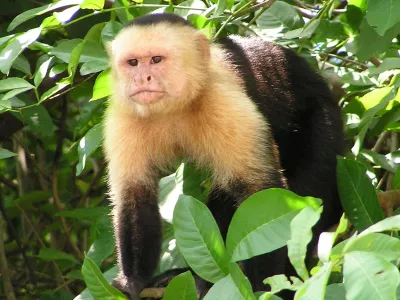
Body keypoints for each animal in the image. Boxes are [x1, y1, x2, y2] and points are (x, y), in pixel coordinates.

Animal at [104, 12, 344, 298]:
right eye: (132, 63)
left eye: (156, 60)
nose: (141, 79)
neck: (174, 108)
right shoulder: (124, 115)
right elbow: (134, 195)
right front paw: (133, 281)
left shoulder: (224, 103)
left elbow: (261, 193)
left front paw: (262, 288)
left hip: (322, 122)